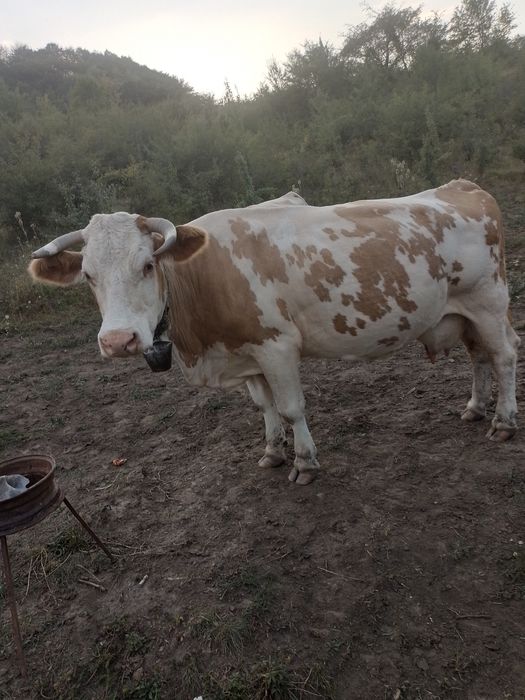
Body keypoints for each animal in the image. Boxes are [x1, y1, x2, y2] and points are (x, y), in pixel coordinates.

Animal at [29, 180, 519, 484]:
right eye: (88, 275)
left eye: (147, 265)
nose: (118, 341)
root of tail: (460, 186)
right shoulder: (246, 353)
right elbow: (264, 407)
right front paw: (272, 451)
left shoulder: (277, 346)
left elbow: (290, 406)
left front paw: (305, 462)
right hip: (462, 313)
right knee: (479, 356)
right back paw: (475, 408)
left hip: (488, 301)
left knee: (505, 355)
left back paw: (504, 421)